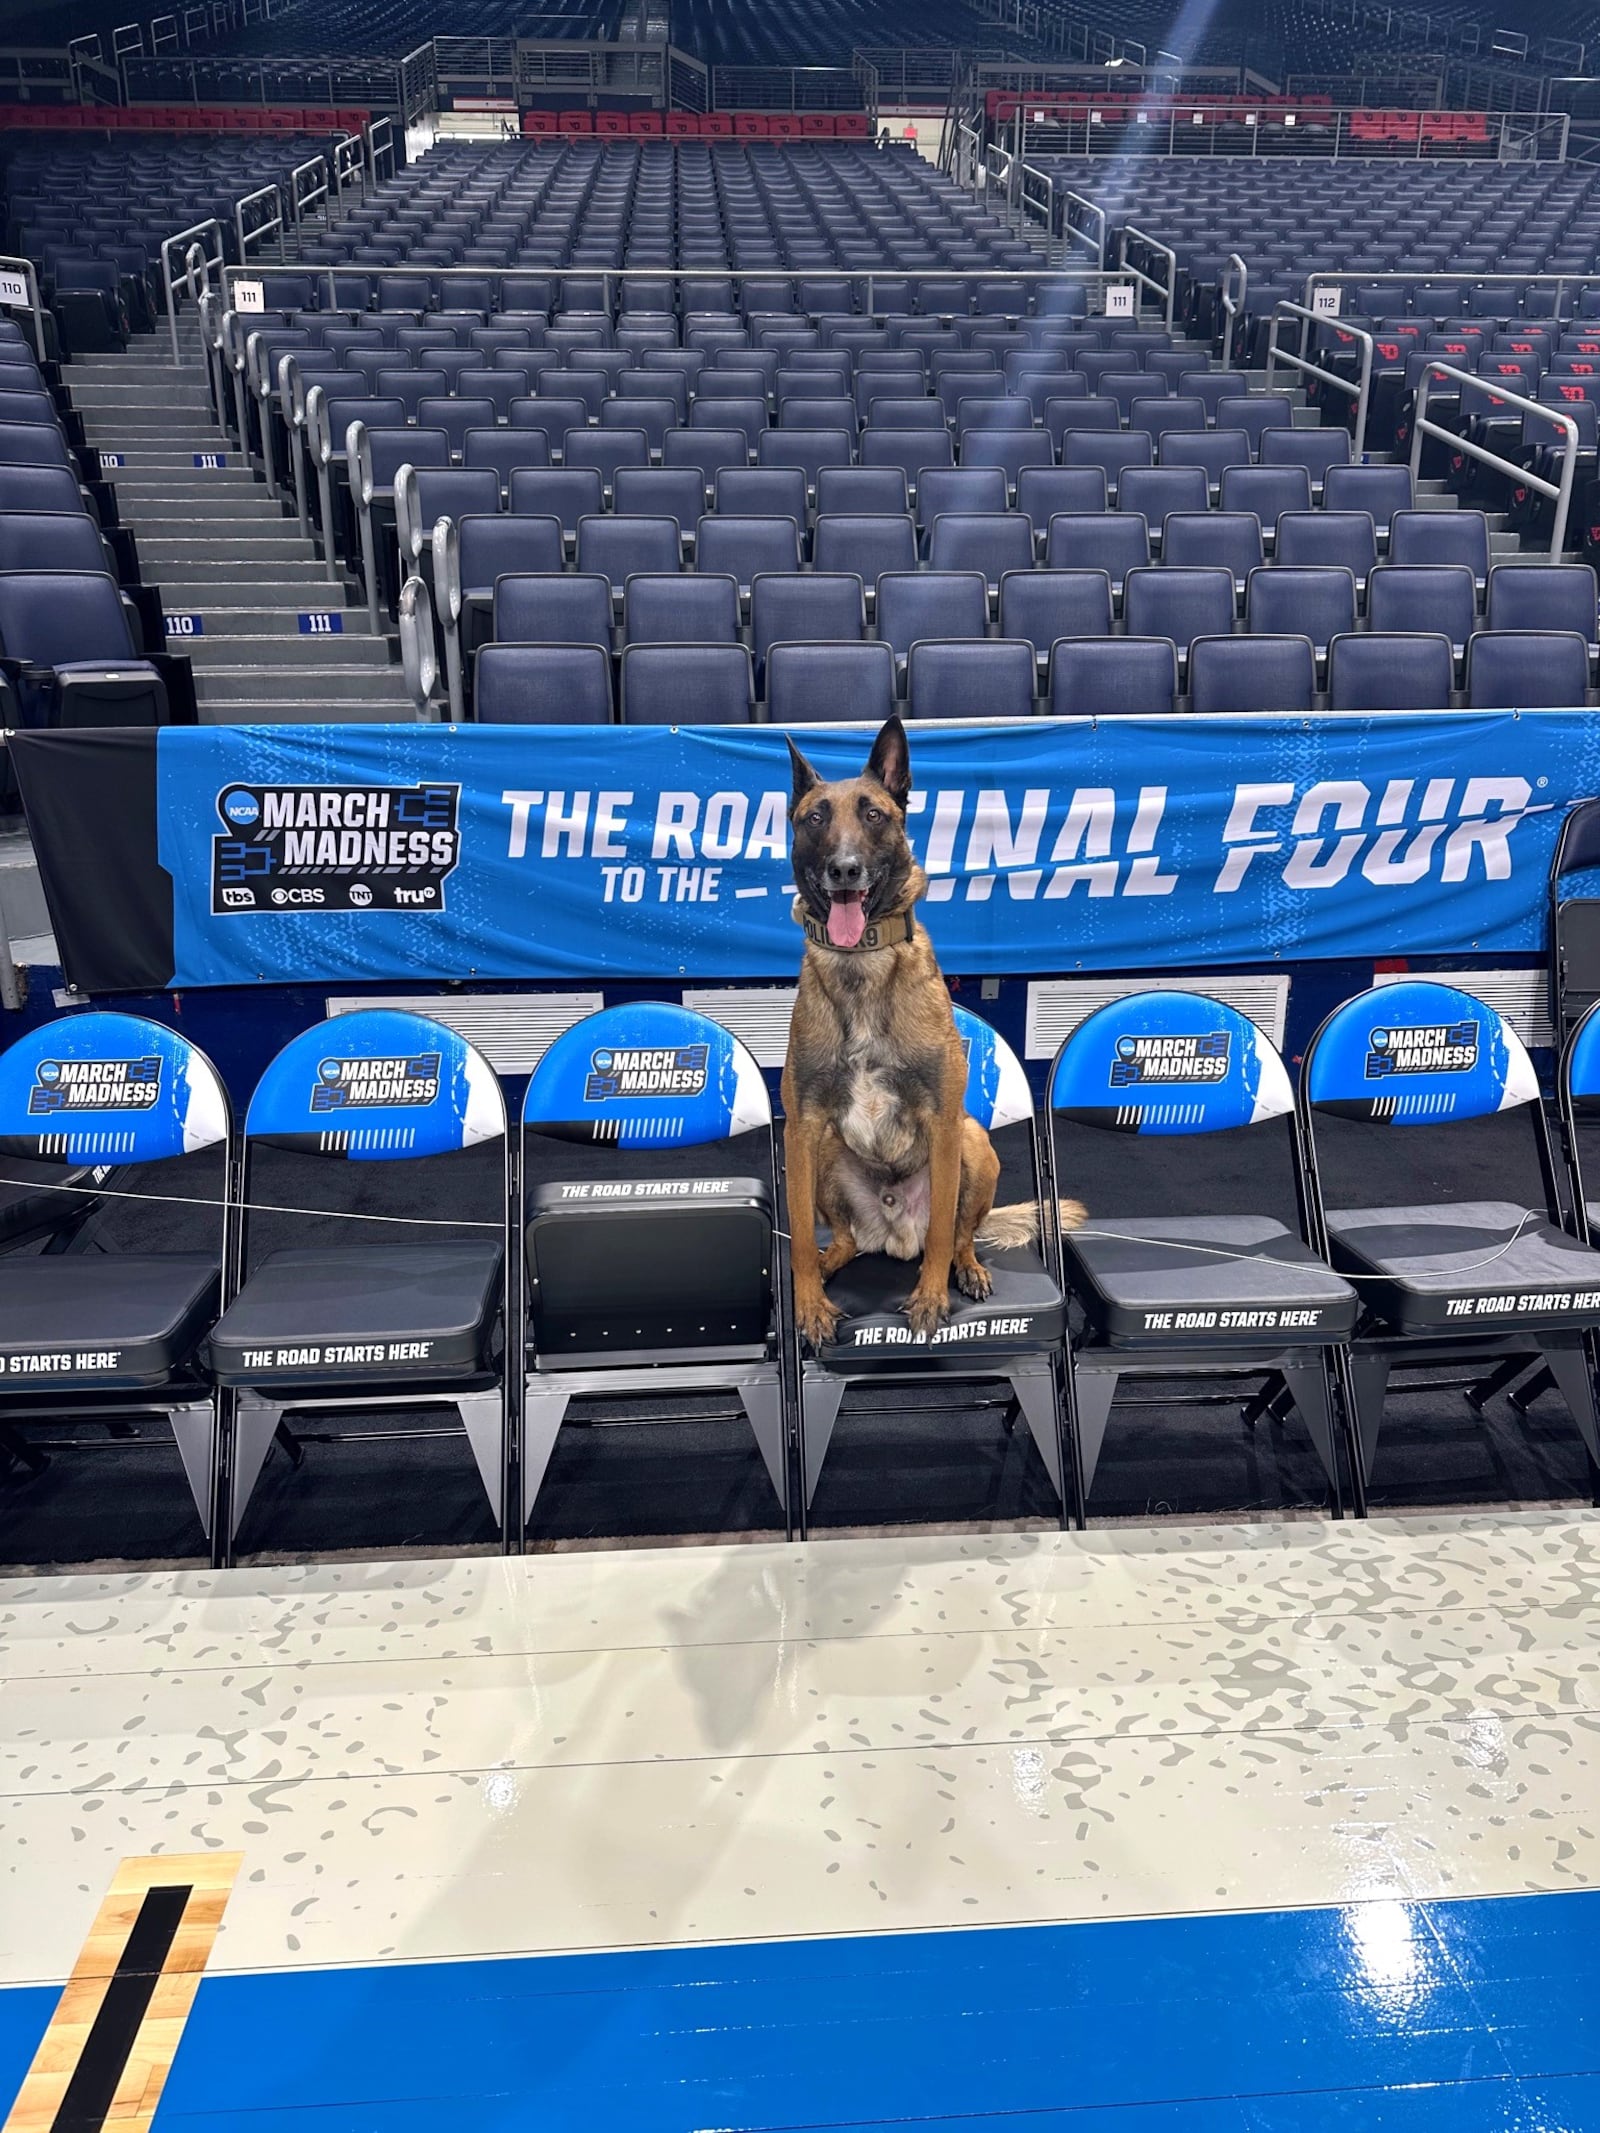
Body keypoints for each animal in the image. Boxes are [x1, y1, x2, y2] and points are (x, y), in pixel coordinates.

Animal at [785, 716, 1083, 1348]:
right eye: (815, 818)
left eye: (874, 814)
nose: (844, 870)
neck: (862, 964)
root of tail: (895, 1234)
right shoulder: (802, 1128)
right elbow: (797, 1235)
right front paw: (809, 1304)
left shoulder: (944, 1121)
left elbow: (946, 1232)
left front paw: (929, 1299)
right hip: (827, 1154)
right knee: (842, 1239)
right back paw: (829, 1266)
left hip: (974, 1144)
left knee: (958, 1234)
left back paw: (964, 1270)